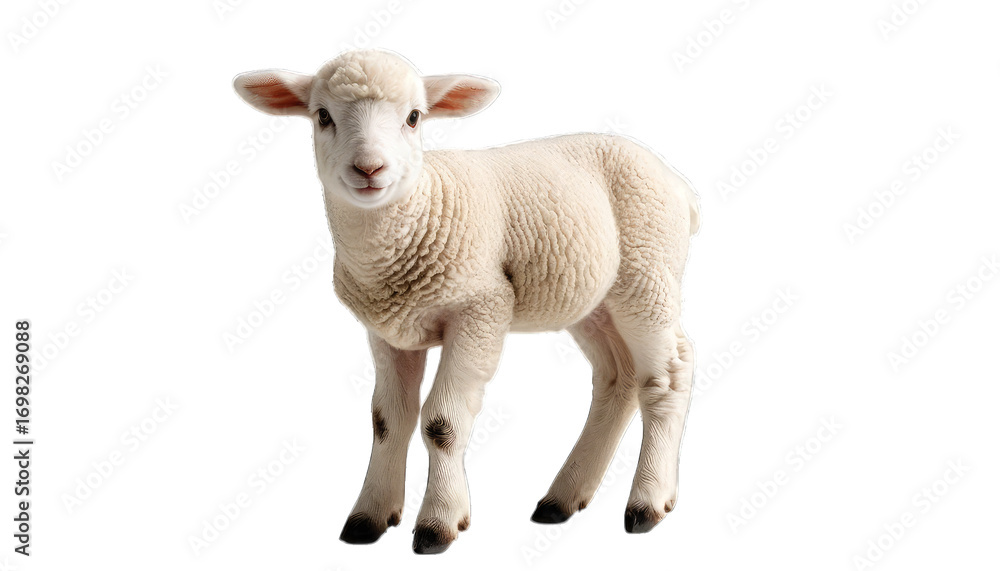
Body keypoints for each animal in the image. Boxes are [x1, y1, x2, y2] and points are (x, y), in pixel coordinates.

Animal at [233, 49, 700, 554]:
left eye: (414, 117)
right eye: (322, 116)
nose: (369, 169)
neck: (421, 209)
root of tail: (677, 181)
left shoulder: (481, 308)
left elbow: (442, 423)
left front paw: (438, 523)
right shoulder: (387, 331)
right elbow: (387, 419)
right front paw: (369, 516)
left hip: (648, 271)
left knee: (667, 375)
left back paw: (647, 501)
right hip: (592, 299)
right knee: (619, 377)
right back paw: (563, 497)